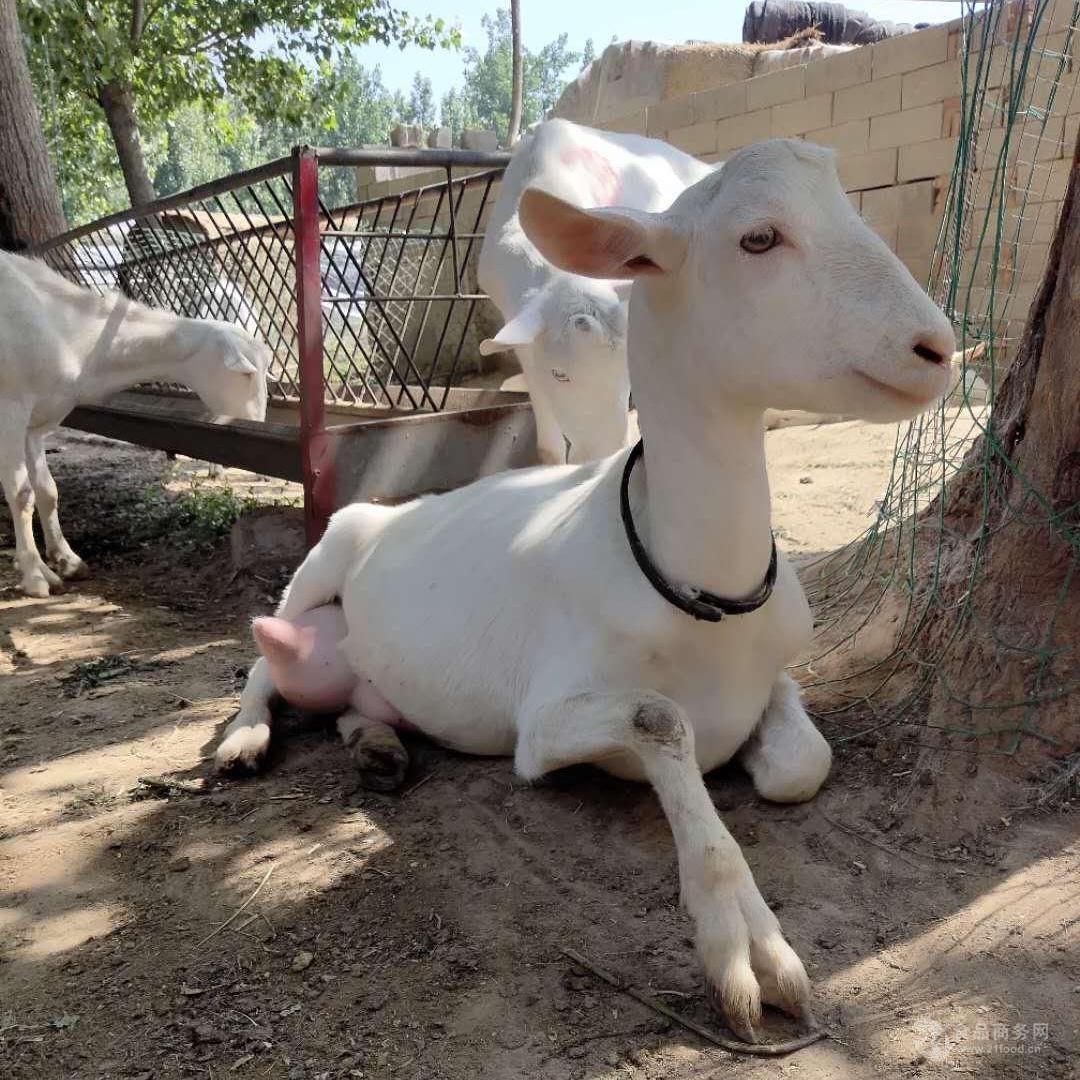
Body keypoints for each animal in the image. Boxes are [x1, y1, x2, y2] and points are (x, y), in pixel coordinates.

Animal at [0, 248, 270, 596]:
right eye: (247, 374)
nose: (257, 423)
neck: (63, 329)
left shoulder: (36, 423)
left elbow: (47, 491)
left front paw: (67, 562)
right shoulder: (10, 409)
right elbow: (22, 495)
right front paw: (35, 575)